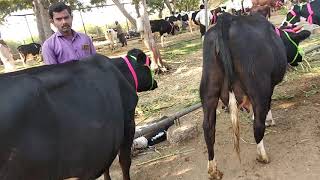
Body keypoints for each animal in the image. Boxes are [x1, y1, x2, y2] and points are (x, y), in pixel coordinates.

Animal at [200, 12, 310, 179]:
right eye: (296, 43)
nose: (300, 58)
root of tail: (226, 19)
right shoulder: (270, 85)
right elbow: (267, 106)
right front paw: (269, 120)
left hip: (208, 88)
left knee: (208, 127)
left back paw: (213, 169)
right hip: (259, 84)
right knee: (258, 124)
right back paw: (262, 155)